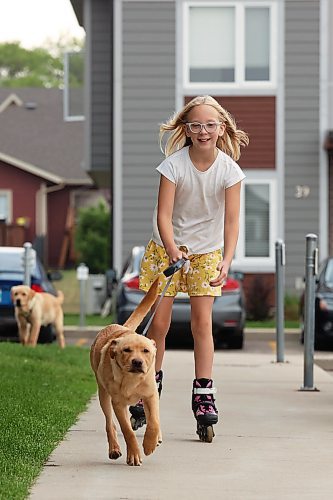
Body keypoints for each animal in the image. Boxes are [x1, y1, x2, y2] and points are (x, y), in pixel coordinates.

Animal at [89, 280, 160, 466]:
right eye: (126, 350)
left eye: (145, 351)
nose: (137, 362)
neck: (131, 379)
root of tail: (121, 327)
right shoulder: (118, 404)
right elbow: (127, 430)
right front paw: (134, 454)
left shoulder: (151, 395)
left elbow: (154, 422)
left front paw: (149, 444)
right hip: (103, 395)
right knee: (110, 424)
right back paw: (114, 449)